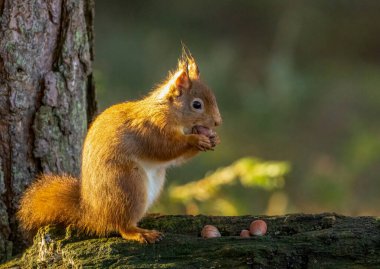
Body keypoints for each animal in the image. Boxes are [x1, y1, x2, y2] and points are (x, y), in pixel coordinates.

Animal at [16, 48, 221, 243]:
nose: (218, 122)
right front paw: (195, 140)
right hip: (128, 185)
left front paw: (213, 138)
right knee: (122, 226)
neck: (167, 110)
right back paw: (140, 233)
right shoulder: (150, 128)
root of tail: (94, 214)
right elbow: (165, 148)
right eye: (197, 105)